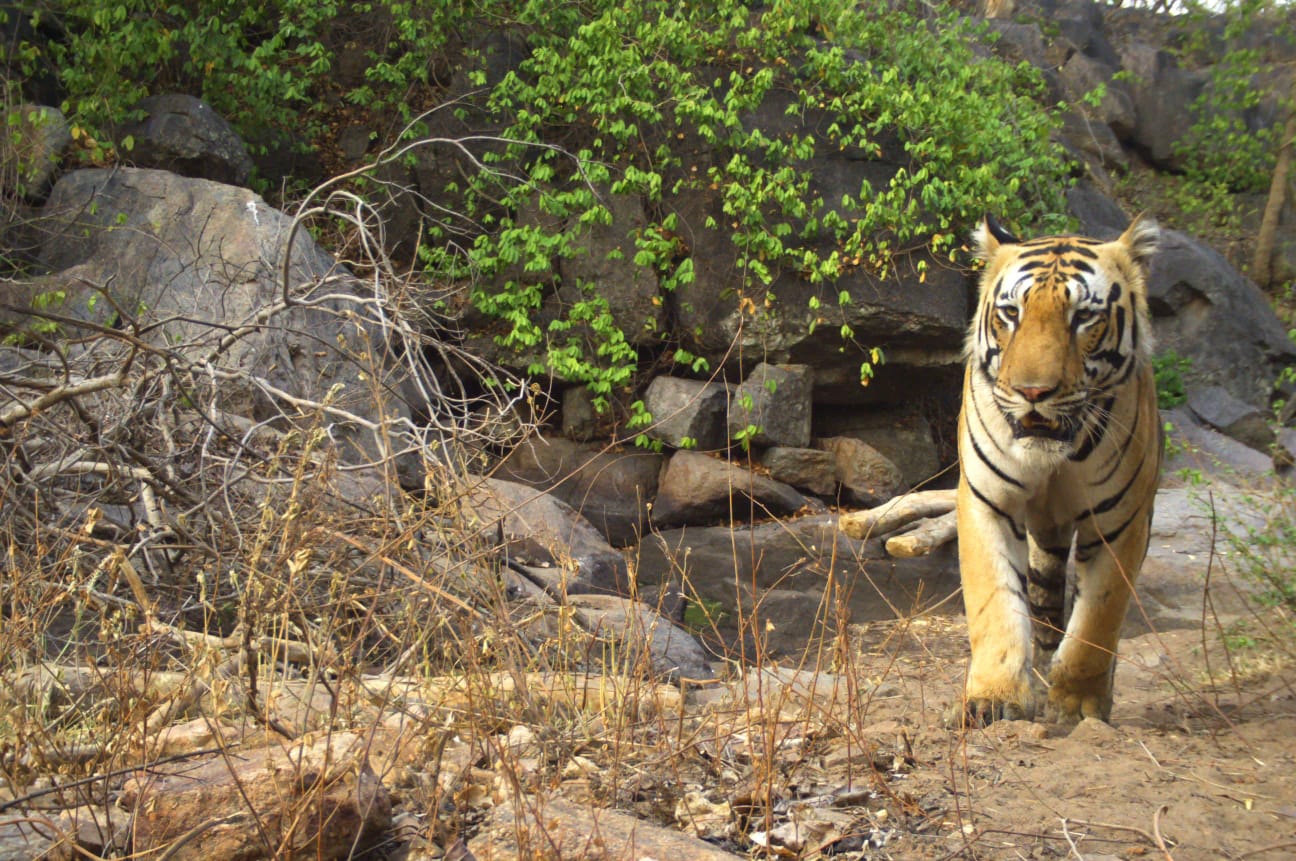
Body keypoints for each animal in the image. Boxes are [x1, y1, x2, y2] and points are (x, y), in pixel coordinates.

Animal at [952, 213, 1162, 727]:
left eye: (1083, 317)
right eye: (1011, 313)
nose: (1032, 392)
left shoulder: (1121, 522)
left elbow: (1097, 621)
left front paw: (1079, 704)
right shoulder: (987, 501)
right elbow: (995, 603)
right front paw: (994, 696)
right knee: (1044, 604)